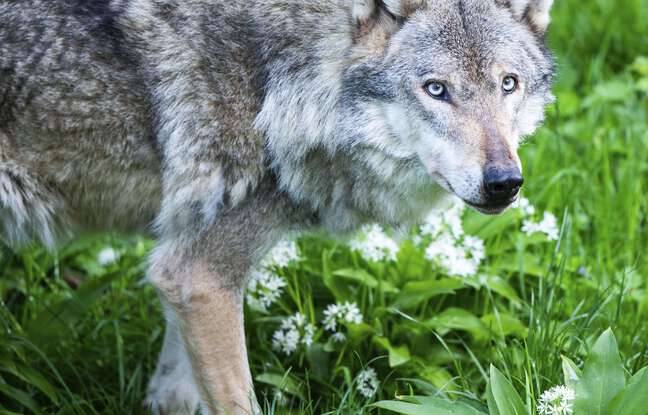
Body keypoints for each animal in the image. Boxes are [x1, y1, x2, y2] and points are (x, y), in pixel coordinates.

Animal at [0, 0, 555, 413]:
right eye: (436, 90)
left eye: (508, 83)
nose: (503, 183)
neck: (280, 79)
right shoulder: (200, 276)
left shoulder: (181, 273)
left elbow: (174, 390)